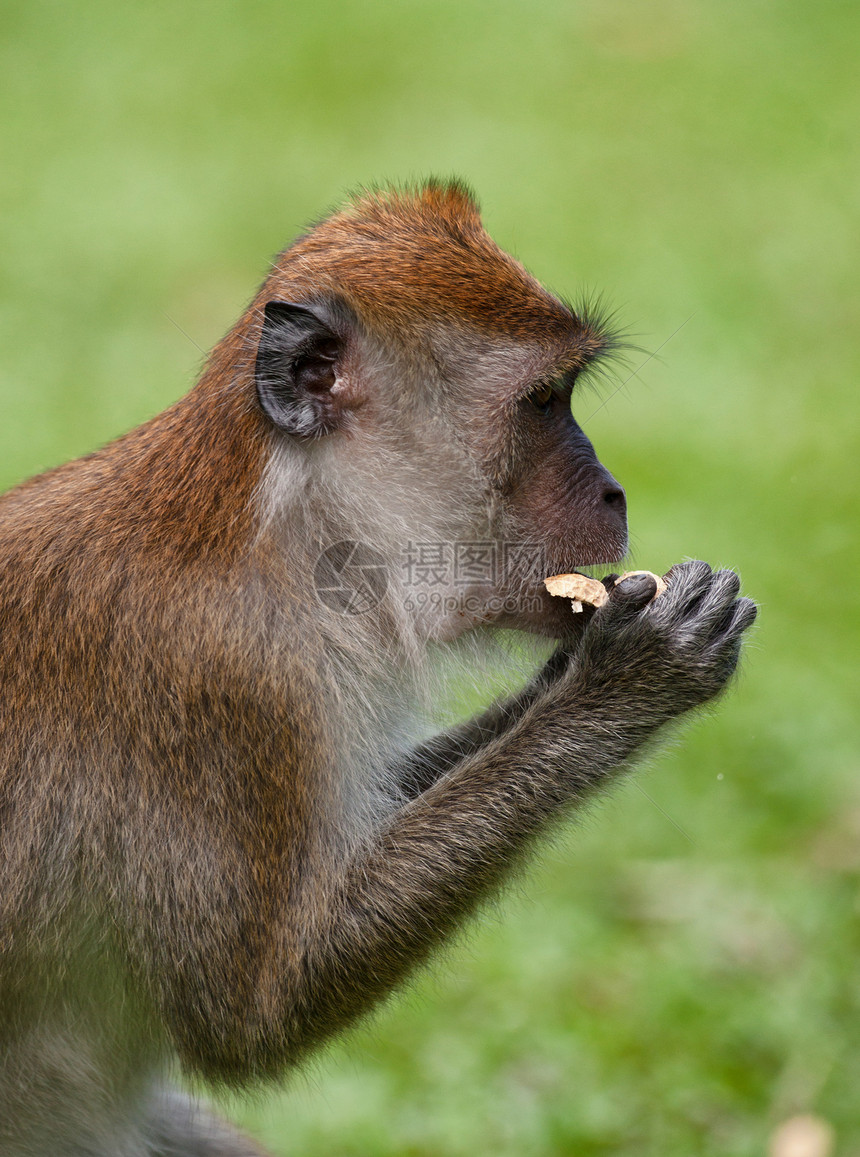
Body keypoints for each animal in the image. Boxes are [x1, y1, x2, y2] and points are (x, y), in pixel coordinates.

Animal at [0, 182, 754, 1157]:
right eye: (544, 402)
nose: (614, 491)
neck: (291, 541)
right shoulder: (231, 687)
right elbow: (249, 1017)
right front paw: (628, 679)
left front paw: (577, 668)